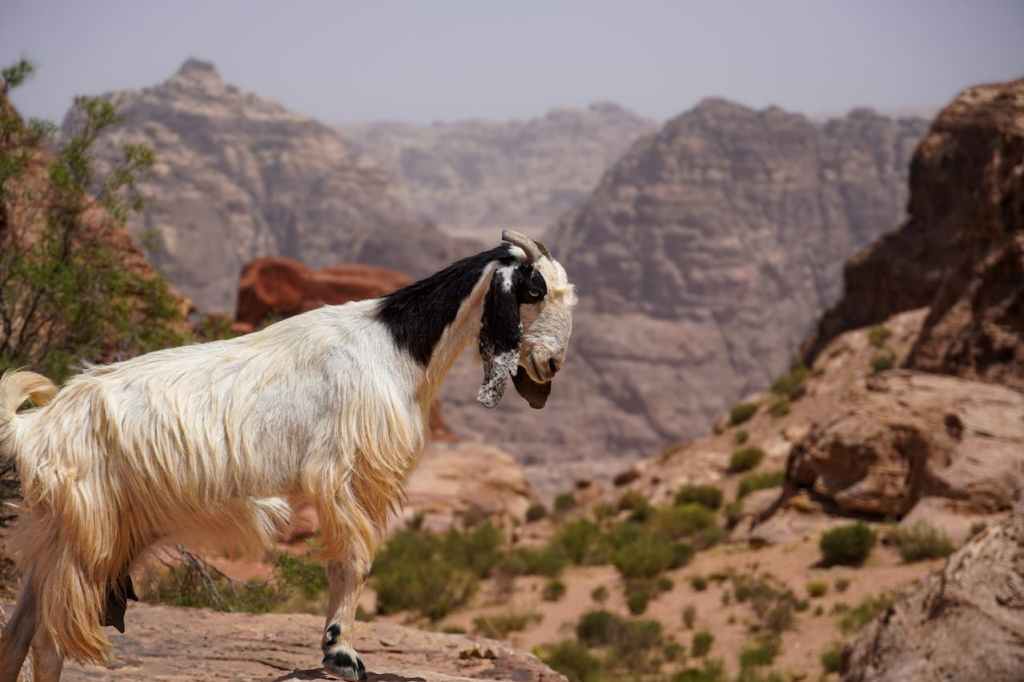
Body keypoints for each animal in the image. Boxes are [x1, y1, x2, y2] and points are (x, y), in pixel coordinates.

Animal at [0, 230, 576, 681]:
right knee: (49, 644)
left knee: (17, 633)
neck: (395, 344)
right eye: (535, 290)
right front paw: (340, 653)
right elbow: (353, 560)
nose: (550, 364)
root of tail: (36, 427)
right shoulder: (340, 473)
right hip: (88, 538)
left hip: (55, 533)